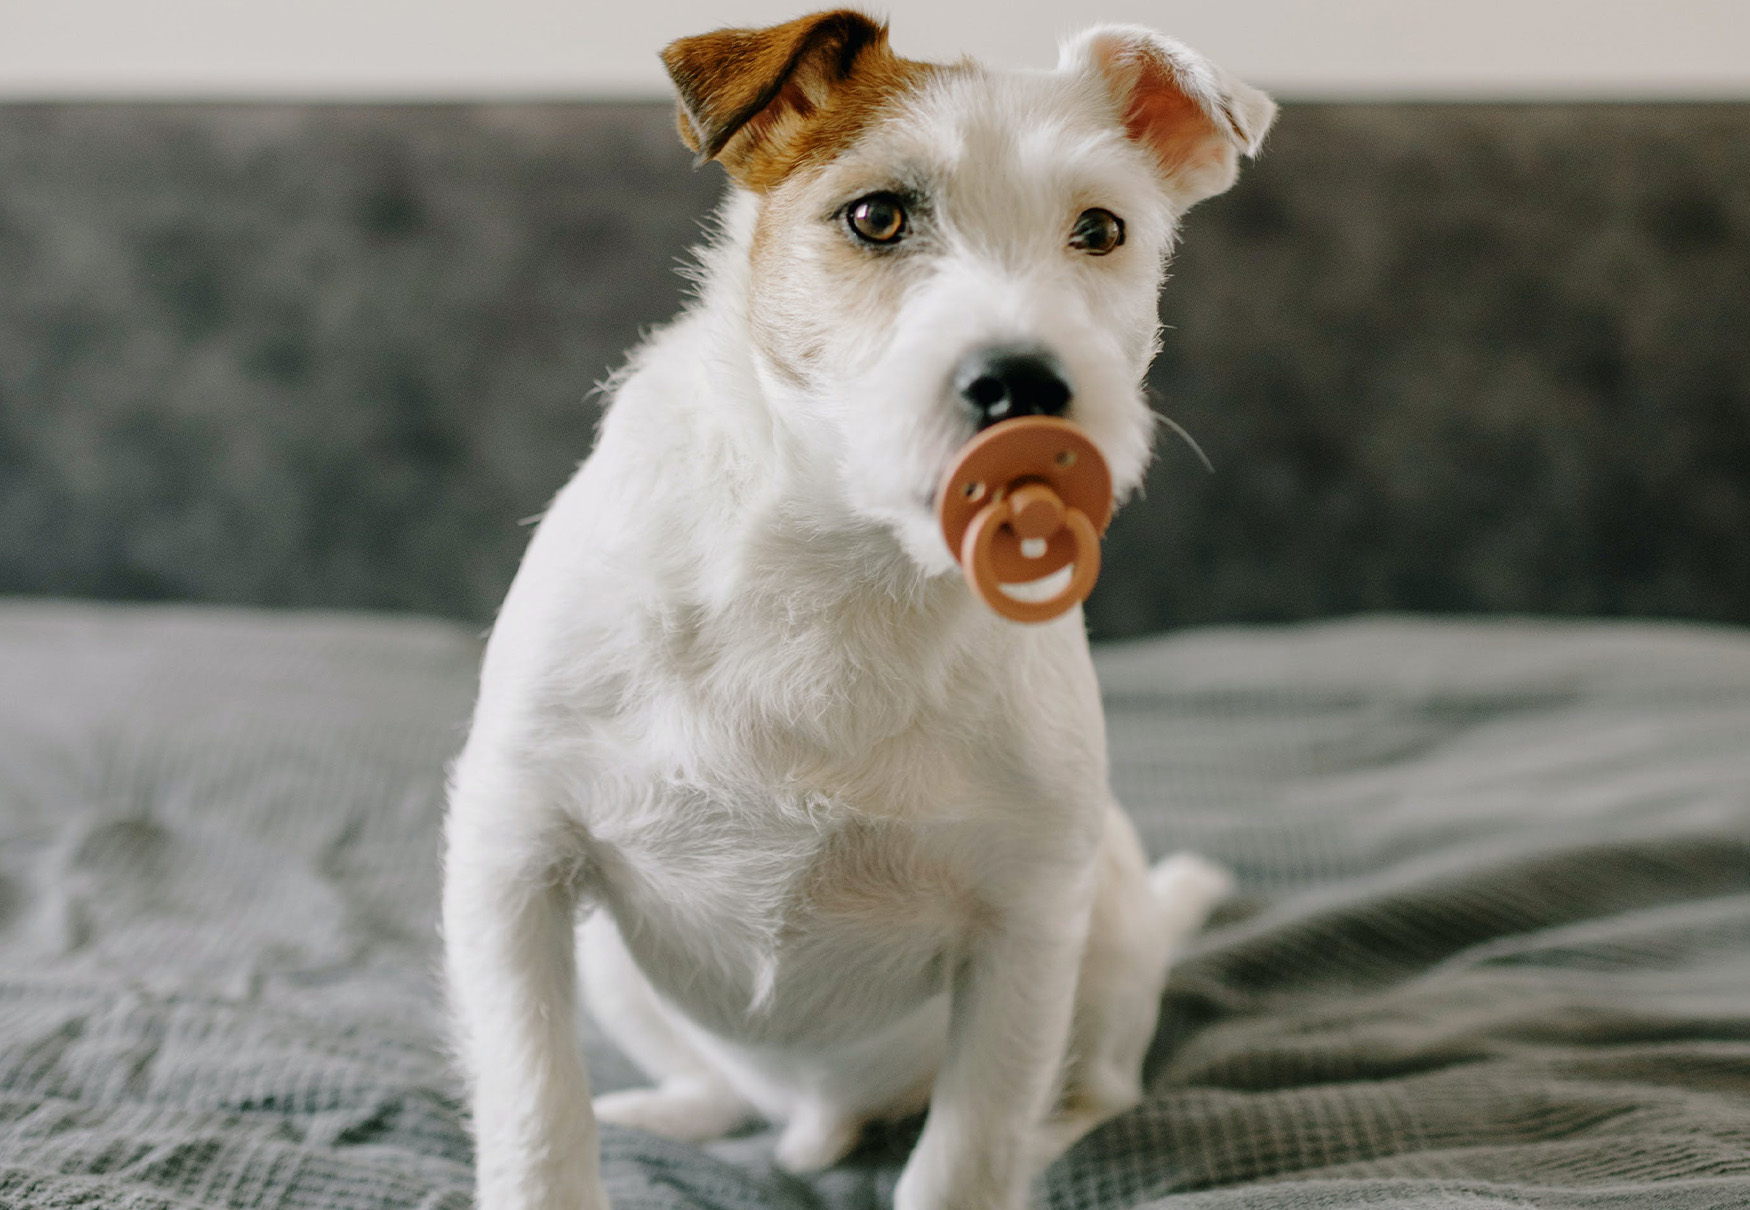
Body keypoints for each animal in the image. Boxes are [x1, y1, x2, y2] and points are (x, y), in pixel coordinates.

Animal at [437, 11, 1274, 1210]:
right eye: (876, 216)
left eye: (1100, 229)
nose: (1024, 384)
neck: (841, 566)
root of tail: (818, 1116)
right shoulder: (514, 861)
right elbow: (538, 1111)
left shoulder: (1026, 926)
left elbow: (968, 1151)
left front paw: (994, 1159)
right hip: (609, 964)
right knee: (714, 1087)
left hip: (1107, 928)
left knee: (1093, 1096)